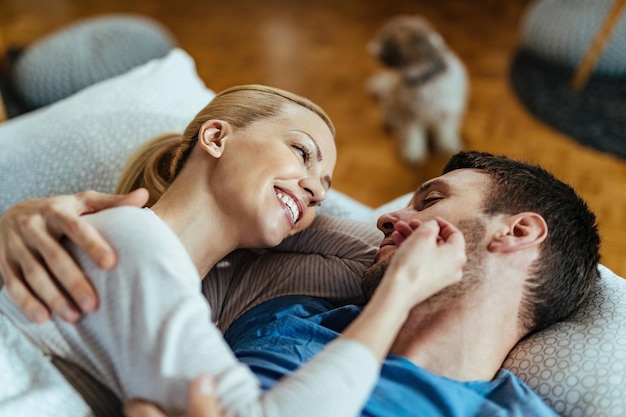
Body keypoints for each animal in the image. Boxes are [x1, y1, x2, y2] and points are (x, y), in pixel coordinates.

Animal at [366, 16, 468, 166]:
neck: (425, 80)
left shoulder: (448, 111)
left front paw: (447, 144)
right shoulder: (410, 114)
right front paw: (413, 153)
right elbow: (413, 135)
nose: (370, 47)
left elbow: (446, 130)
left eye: (385, 38)